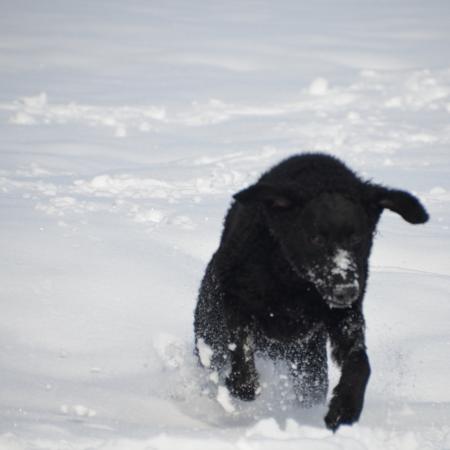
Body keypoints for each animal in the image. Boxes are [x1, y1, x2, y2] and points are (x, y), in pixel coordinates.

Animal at [192, 153, 426, 430]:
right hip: (209, 333)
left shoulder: (344, 317)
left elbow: (360, 362)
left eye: (357, 238)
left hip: (309, 365)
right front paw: (243, 385)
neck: (294, 283)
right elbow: (241, 344)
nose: (346, 290)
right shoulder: (236, 298)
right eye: (316, 239)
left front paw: (345, 407)